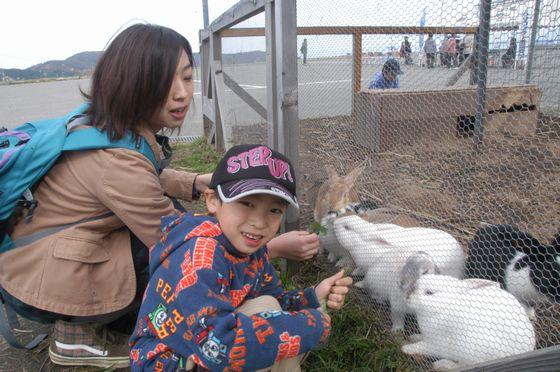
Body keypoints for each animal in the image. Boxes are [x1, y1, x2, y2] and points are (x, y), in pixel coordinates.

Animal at [402, 274, 532, 370]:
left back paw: (442, 365)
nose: (407, 297)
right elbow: (420, 338)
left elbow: (423, 347)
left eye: (429, 292)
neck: (446, 306)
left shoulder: (438, 343)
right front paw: (414, 337)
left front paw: (406, 348)